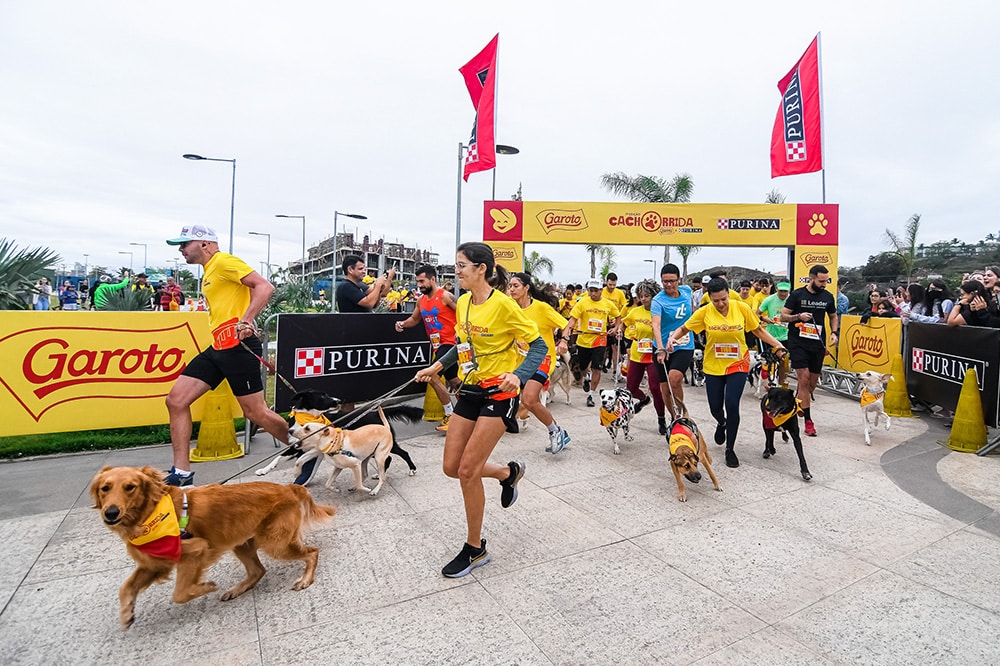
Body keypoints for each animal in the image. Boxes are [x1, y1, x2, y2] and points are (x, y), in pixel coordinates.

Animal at [91, 462, 332, 628]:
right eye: (105, 488)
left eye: (130, 487)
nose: (111, 512)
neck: (150, 513)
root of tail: (289, 488)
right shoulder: (155, 563)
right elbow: (126, 587)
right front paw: (126, 613)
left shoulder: (195, 550)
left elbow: (180, 593)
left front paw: (205, 587)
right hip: (241, 542)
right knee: (258, 570)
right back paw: (237, 589)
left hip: (275, 543)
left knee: (312, 552)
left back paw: (305, 580)